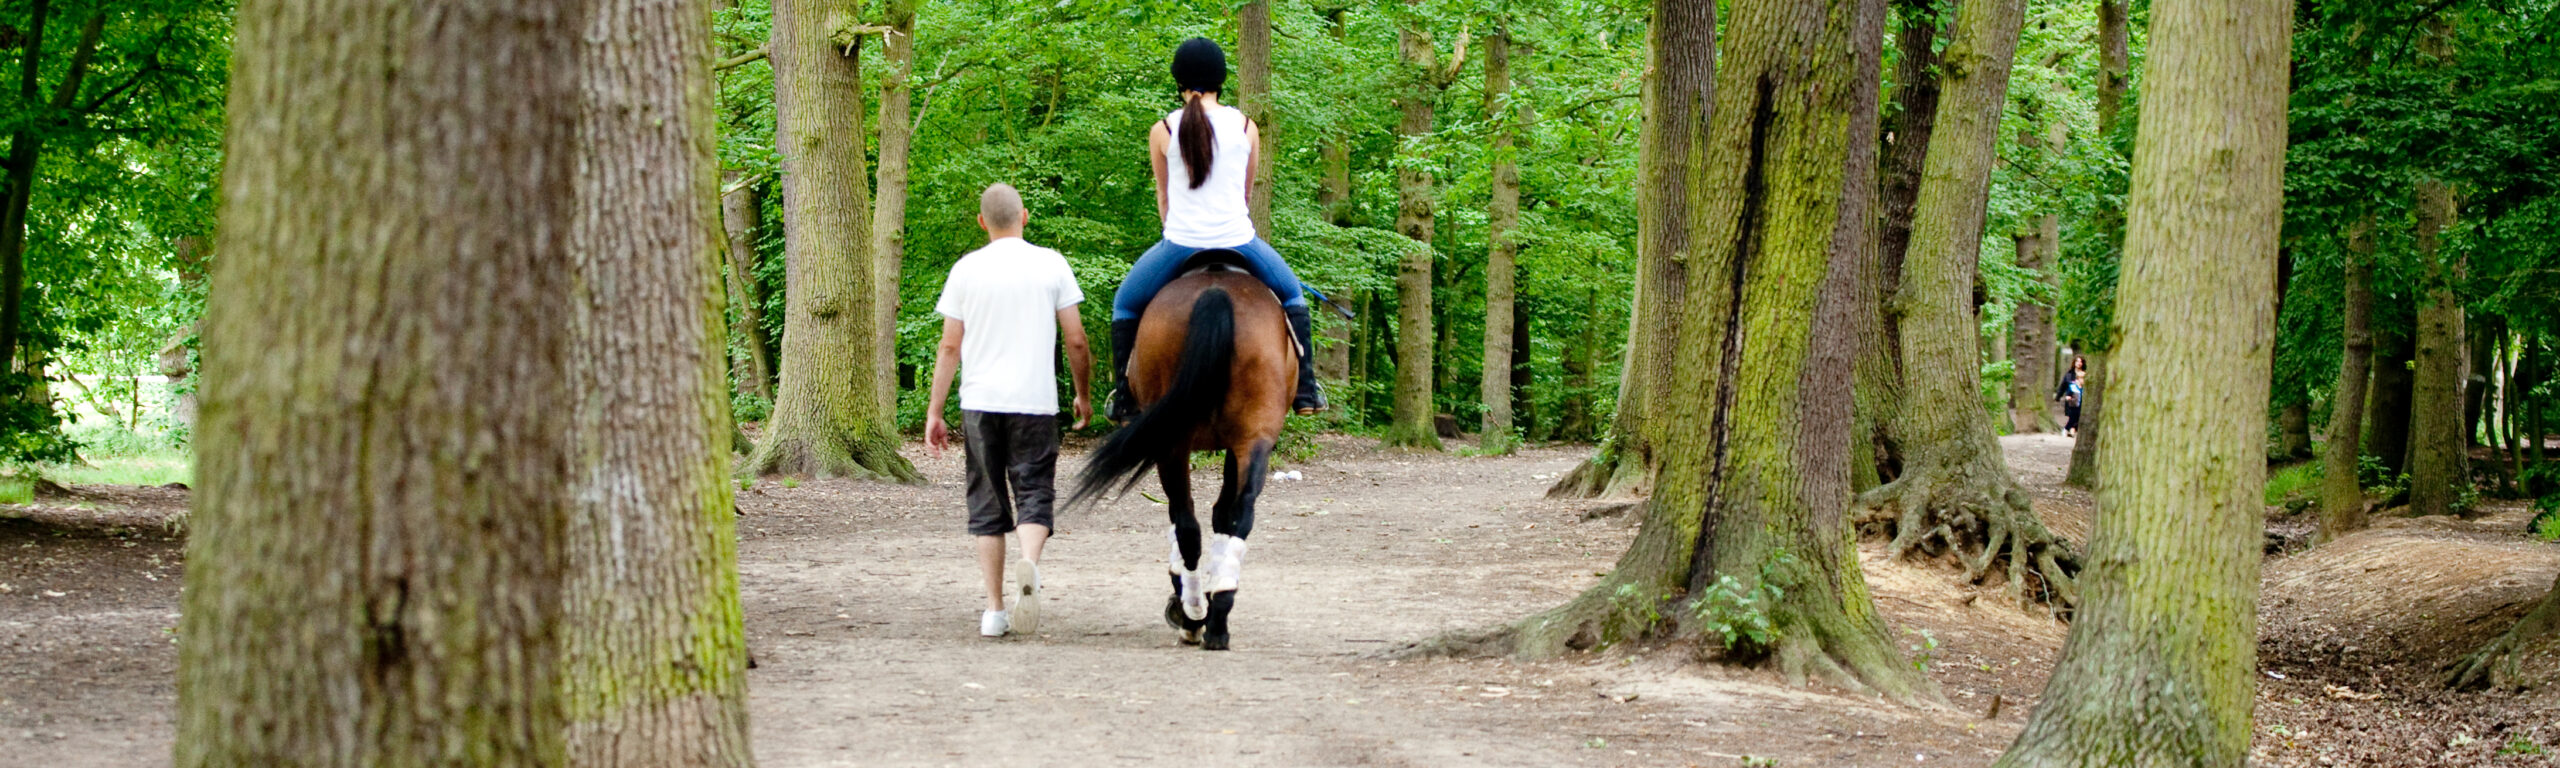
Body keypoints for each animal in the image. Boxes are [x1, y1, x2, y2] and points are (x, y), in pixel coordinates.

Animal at [1064, 253, 1290, 647]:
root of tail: (1216, 291)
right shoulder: (1237, 445)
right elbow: (1221, 515)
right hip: (1251, 439)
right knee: (1235, 513)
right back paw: (1215, 620)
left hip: (1176, 443)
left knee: (1187, 524)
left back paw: (1194, 615)